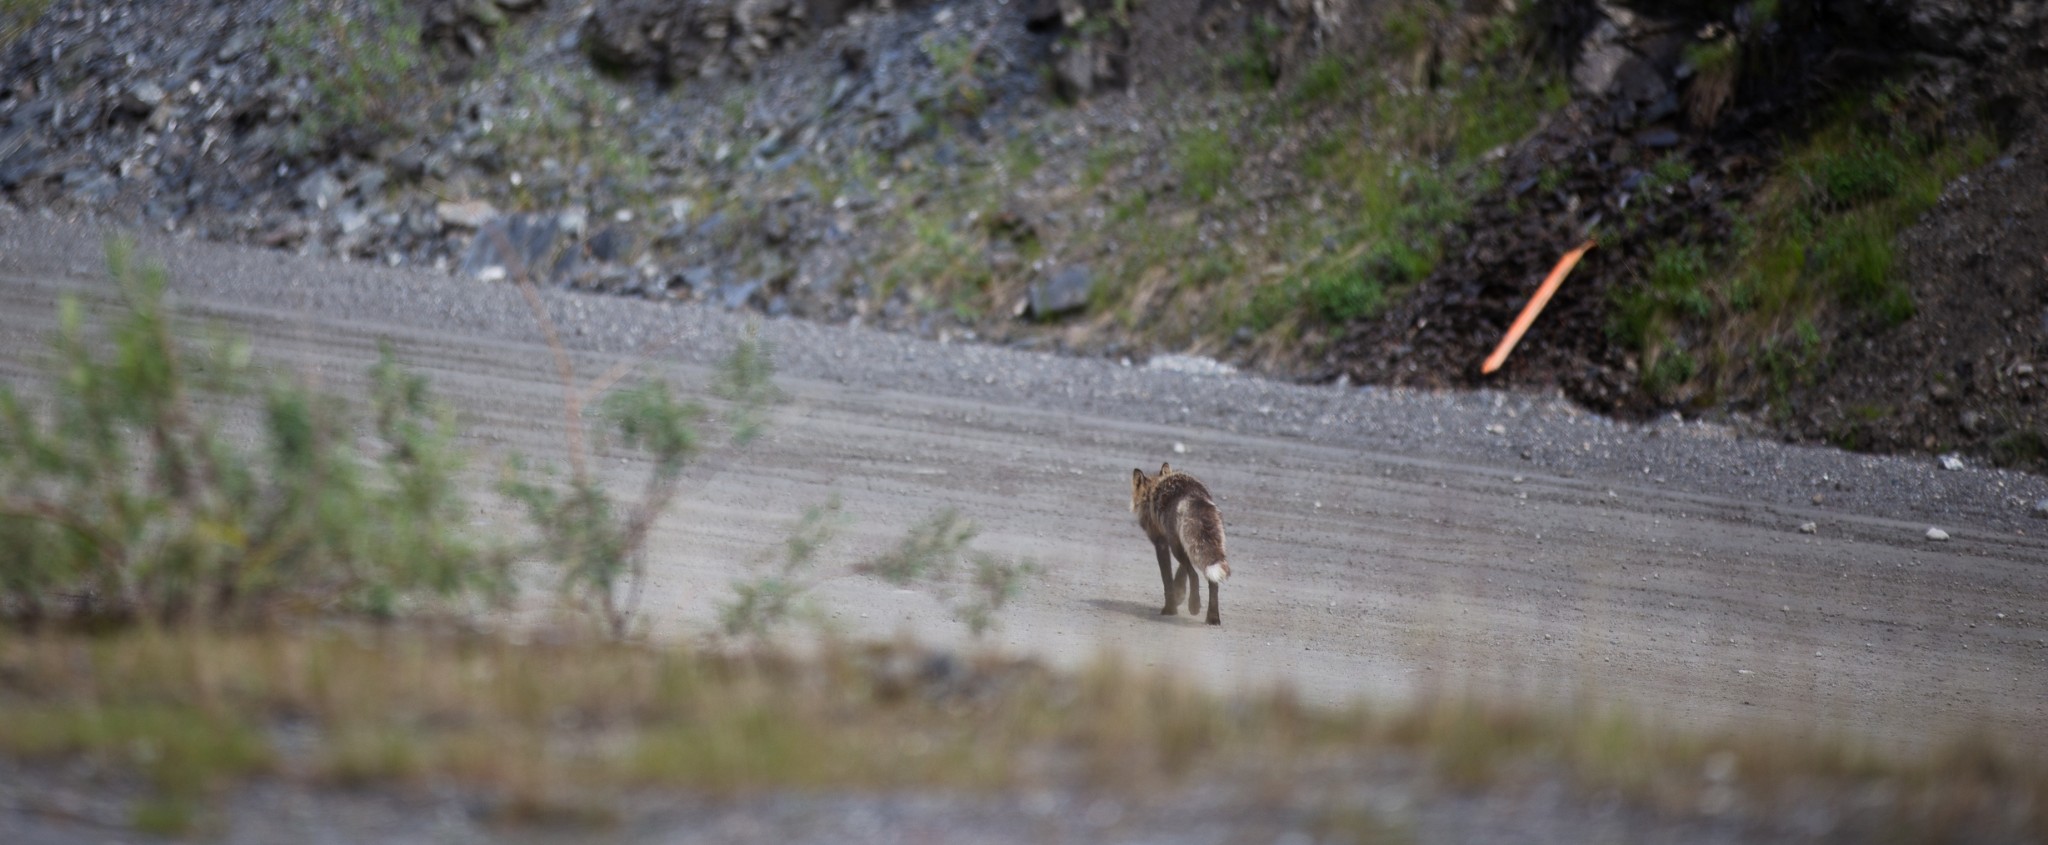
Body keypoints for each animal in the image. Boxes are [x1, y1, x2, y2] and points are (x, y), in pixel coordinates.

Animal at [1130, 458, 1220, 621]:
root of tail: (1193, 494)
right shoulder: (1186, 544)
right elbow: (1180, 572)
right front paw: (1179, 594)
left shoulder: (1161, 543)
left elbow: (1167, 580)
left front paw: (1170, 608)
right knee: (1213, 582)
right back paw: (1212, 618)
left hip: (1176, 546)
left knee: (1195, 574)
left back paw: (1194, 605)